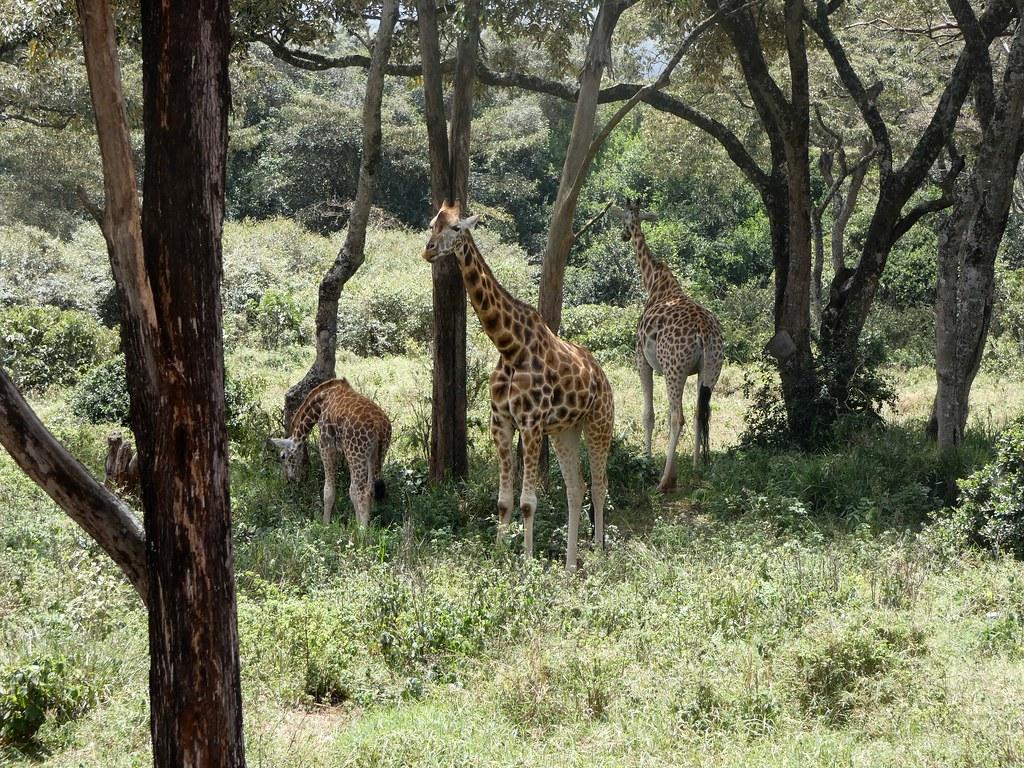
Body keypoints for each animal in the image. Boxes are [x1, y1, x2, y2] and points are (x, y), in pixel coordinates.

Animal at [268, 376, 391, 528]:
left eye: (283, 456)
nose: (289, 479)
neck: (321, 400)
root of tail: (378, 426)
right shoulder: (344, 449)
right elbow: (351, 491)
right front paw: (354, 523)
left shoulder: (326, 444)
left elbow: (329, 490)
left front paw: (325, 524)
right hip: (376, 454)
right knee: (369, 490)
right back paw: (363, 526)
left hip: (357, 453)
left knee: (362, 492)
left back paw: (362, 532)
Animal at [419, 201, 610, 573]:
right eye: (433, 223)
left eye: (457, 229)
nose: (429, 250)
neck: (510, 347)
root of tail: (602, 376)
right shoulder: (502, 423)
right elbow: (504, 502)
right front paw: (499, 558)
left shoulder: (531, 423)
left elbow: (527, 502)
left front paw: (527, 563)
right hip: (565, 431)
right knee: (576, 487)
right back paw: (569, 566)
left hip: (599, 423)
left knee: (598, 485)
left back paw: (596, 557)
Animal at [610, 198, 724, 487]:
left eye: (624, 218)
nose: (623, 235)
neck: (653, 282)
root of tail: (704, 333)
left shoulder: (641, 360)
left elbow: (647, 415)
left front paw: (647, 459)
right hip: (712, 368)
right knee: (700, 413)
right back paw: (696, 466)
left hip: (675, 369)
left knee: (677, 416)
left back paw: (665, 480)